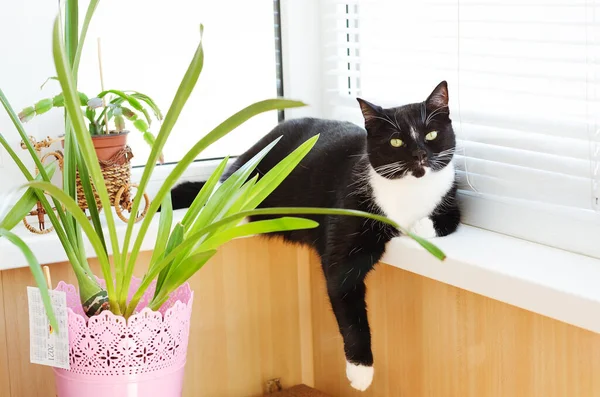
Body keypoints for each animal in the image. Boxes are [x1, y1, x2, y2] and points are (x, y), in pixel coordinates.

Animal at [171, 80, 462, 390]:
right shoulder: (345, 235)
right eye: (396, 142)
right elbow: (347, 302)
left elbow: (448, 219)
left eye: (431, 134)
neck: (409, 193)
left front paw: (419, 227)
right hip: (245, 182)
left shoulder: (451, 199)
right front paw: (361, 370)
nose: (420, 155)